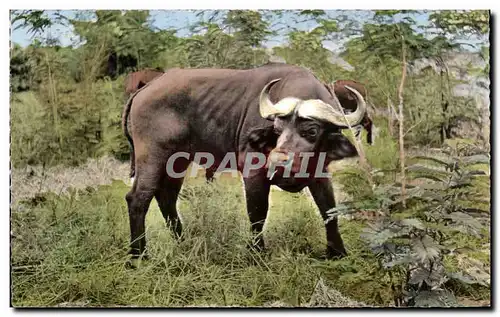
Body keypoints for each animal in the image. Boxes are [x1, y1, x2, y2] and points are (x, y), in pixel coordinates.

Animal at [122, 63, 366, 260]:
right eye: (277, 130)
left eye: (312, 131)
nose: (278, 164)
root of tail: (145, 89)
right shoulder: (254, 173)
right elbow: (257, 212)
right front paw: (257, 251)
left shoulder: (320, 173)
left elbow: (329, 209)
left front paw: (337, 251)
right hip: (152, 158)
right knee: (138, 199)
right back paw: (139, 255)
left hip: (177, 162)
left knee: (167, 197)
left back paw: (183, 242)